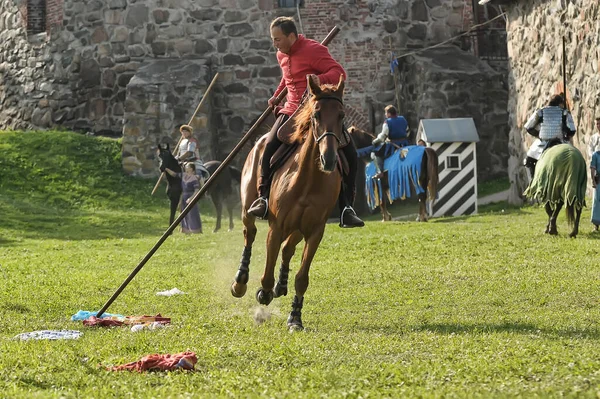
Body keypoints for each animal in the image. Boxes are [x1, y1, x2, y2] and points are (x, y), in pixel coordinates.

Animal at [233, 75, 350, 332]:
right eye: (316, 114)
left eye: (341, 115)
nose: (329, 159)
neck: (307, 179)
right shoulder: (276, 227)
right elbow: (266, 273)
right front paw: (264, 292)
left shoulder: (315, 231)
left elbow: (302, 278)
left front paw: (295, 317)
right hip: (248, 209)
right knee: (250, 233)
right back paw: (240, 281)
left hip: (297, 228)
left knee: (287, 249)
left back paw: (281, 285)